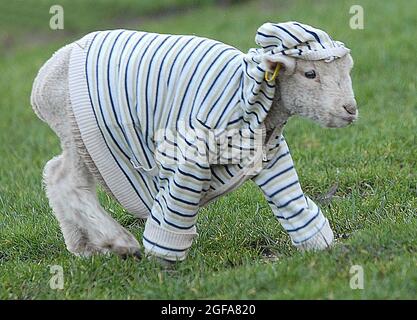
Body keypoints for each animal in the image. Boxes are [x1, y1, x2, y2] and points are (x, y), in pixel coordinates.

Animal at [30, 21, 358, 264]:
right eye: (310, 73)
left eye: (347, 71)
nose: (350, 109)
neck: (250, 91)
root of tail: (40, 83)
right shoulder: (190, 149)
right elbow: (175, 206)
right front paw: (163, 263)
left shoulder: (269, 152)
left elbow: (289, 196)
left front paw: (322, 247)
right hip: (78, 129)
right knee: (67, 181)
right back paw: (119, 241)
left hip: (77, 139)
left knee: (56, 174)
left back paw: (84, 246)